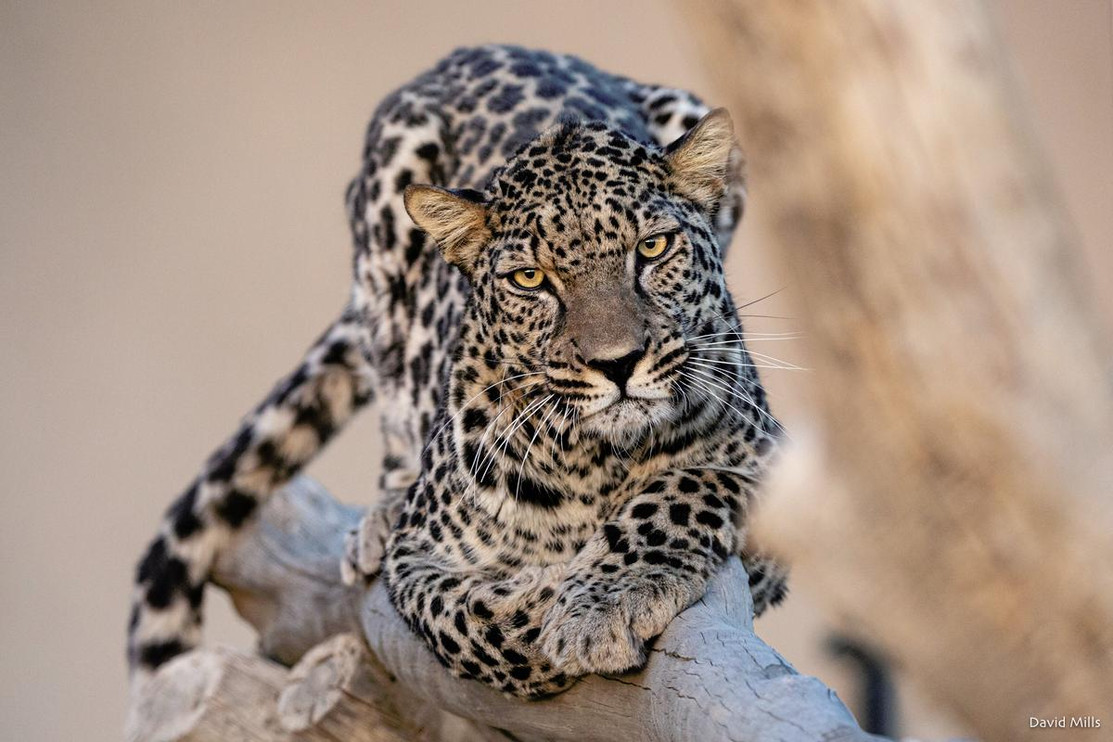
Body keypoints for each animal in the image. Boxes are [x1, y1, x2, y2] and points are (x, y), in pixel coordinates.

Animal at [127, 44, 788, 699]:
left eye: (651, 248)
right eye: (530, 280)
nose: (618, 363)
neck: (600, 466)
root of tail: (492, 47)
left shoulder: (776, 477)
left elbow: (686, 487)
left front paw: (604, 599)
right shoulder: (418, 556)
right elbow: (471, 623)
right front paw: (555, 604)